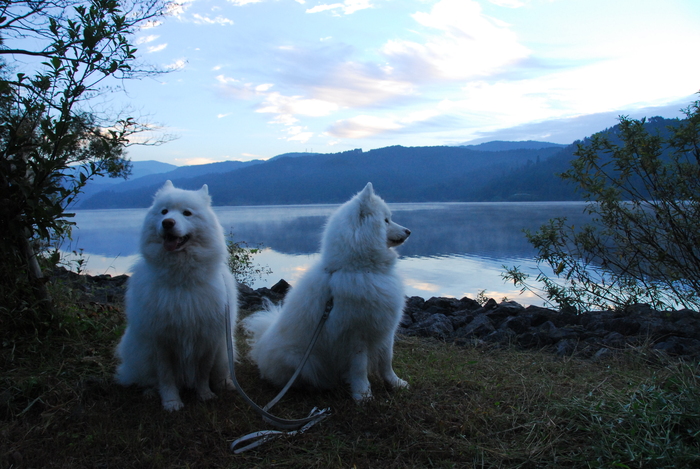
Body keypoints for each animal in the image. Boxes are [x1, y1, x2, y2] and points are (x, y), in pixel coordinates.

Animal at [113, 179, 237, 410]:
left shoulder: (208, 338)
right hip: (139, 353)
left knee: (220, 373)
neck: (182, 281)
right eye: (164, 211)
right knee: (146, 379)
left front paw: (205, 395)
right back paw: (150, 392)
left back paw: (226, 384)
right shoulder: (161, 341)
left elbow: (203, 372)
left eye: (187, 213)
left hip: (224, 353)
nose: (167, 223)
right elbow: (166, 376)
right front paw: (171, 402)